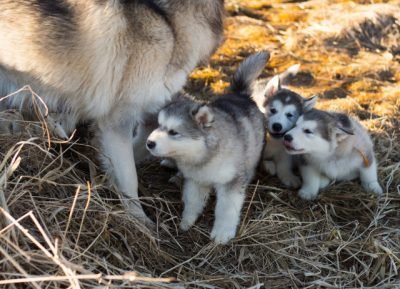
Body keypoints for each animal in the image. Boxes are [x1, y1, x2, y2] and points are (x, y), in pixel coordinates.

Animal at [145, 52, 268, 243]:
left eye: (173, 132)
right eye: (159, 125)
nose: (149, 143)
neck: (204, 157)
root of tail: (240, 95)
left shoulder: (230, 183)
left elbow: (226, 209)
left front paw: (222, 233)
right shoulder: (196, 180)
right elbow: (192, 202)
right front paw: (187, 221)